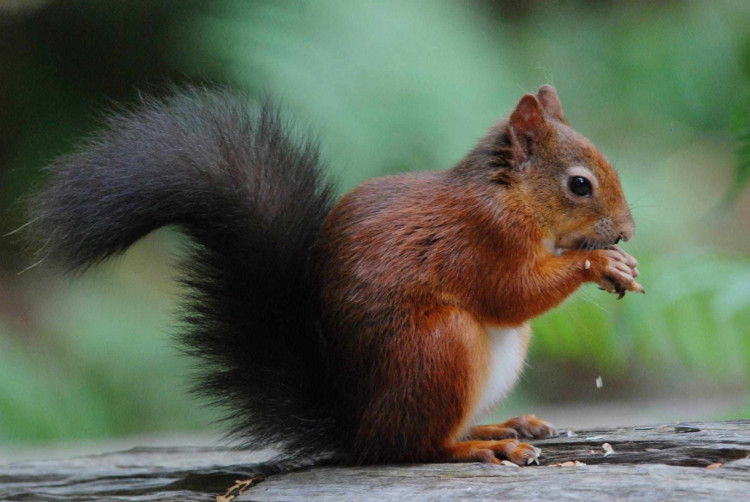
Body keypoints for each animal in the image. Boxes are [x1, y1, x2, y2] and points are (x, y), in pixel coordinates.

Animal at [26, 84, 644, 464]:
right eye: (580, 185)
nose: (627, 232)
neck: (509, 196)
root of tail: (358, 426)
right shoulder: (481, 241)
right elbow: (511, 295)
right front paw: (598, 263)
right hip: (437, 347)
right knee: (412, 447)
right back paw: (481, 447)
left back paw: (501, 426)